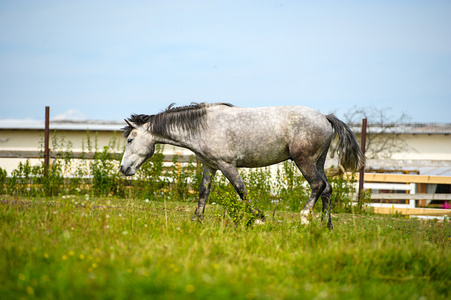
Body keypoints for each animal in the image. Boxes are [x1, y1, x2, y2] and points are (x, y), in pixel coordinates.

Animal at [121, 103, 364, 227]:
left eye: (130, 140)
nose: (123, 169)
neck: (202, 126)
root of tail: (325, 117)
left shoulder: (227, 165)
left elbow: (241, 190)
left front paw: (259, 219)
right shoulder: (210, 166)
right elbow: (203, 192)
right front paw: (196, 220)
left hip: (304, 161)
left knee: (317, 186)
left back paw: (305, 218)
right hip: (318, 162)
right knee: (327, 189)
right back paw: (326, 225)